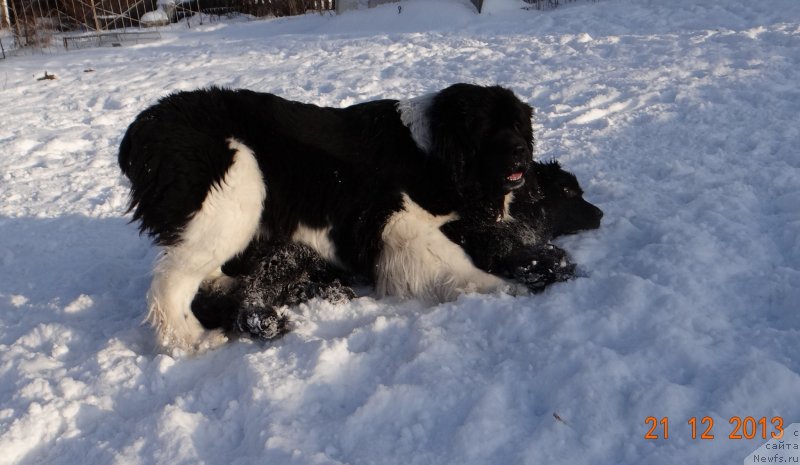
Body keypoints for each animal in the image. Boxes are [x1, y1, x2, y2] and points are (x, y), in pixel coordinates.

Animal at [120, 84, 544, 352]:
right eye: (486, 130)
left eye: (517, 126)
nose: (521, 152)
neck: (434, 151)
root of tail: (142, 130)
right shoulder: (395, 224)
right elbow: (452, 261)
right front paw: (503, 288)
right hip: (235, 186)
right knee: (169, 283)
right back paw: (190, 340)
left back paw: (223, 284)